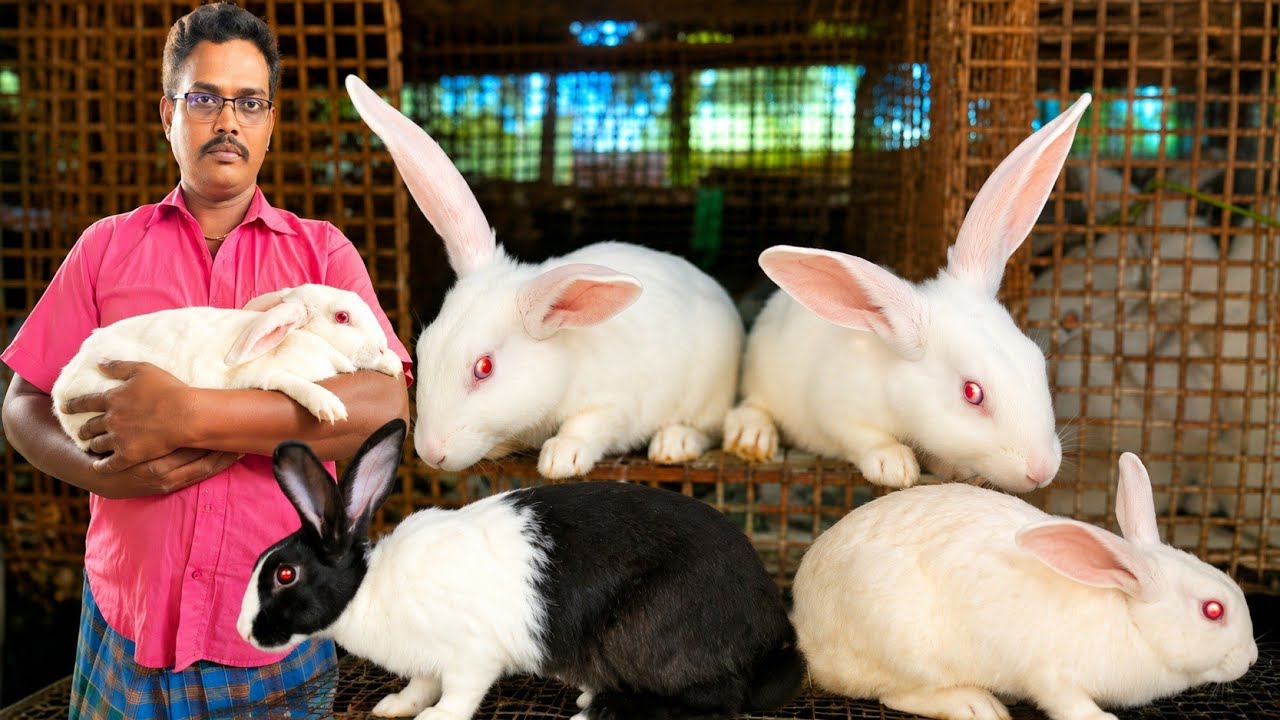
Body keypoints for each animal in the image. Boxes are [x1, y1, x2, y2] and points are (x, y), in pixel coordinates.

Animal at [52, 283, 403, 449]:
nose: (382, 345)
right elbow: (292, 383)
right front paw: (329, 406)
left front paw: (393, 364)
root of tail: (60, 390)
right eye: (342, 317)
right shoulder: (267, 375)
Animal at [237, 419, 804, 720]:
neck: (369, 588)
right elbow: (420, 684)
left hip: (648, 632)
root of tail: (771, 628)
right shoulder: (427, 663)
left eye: (285, 575)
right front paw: (394, 706)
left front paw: (432, 717)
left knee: (718, 700)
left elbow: (458, 696)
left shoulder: (470, 656)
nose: (244, 632)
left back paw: (596, 709)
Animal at [345, 75, 743, 479]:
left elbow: (588, 425)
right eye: (423, 349)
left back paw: (674, 444)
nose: (430, 453)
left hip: (709, 395)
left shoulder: (615, 405)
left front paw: (561, 459)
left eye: (483, 368)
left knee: (705, 429)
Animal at [720, 96, 1093, 493]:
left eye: (1037, 361)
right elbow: (862, 437)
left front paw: (950, 468)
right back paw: (751, 437)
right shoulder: (835, 410)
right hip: (760, 375)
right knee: (753, 406)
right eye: (972, 392)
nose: (1042, 471)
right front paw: (894, 465)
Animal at [790, 452, 1259, 720]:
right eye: (1213, 610)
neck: (1128, 617)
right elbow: (1069, 705)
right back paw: (975, 705)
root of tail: (806, 628)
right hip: (900, 643)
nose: (1251, 659)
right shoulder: (1053, 675)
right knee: (895, 694)